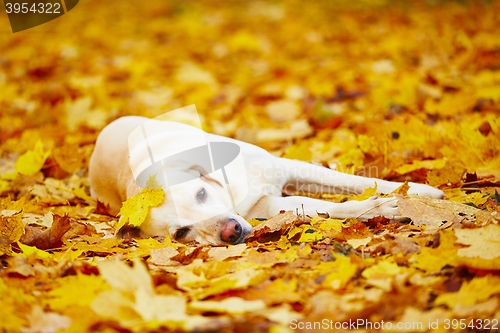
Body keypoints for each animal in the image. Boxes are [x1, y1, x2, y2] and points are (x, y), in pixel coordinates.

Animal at [88, 116, 444, 244]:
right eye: (181, 233)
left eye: (201, 194)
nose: (230, 232)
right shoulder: (269, 206)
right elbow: (324, 206)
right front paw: (389, 207)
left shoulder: (288, 166)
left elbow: (352, 181)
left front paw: (420, 191)